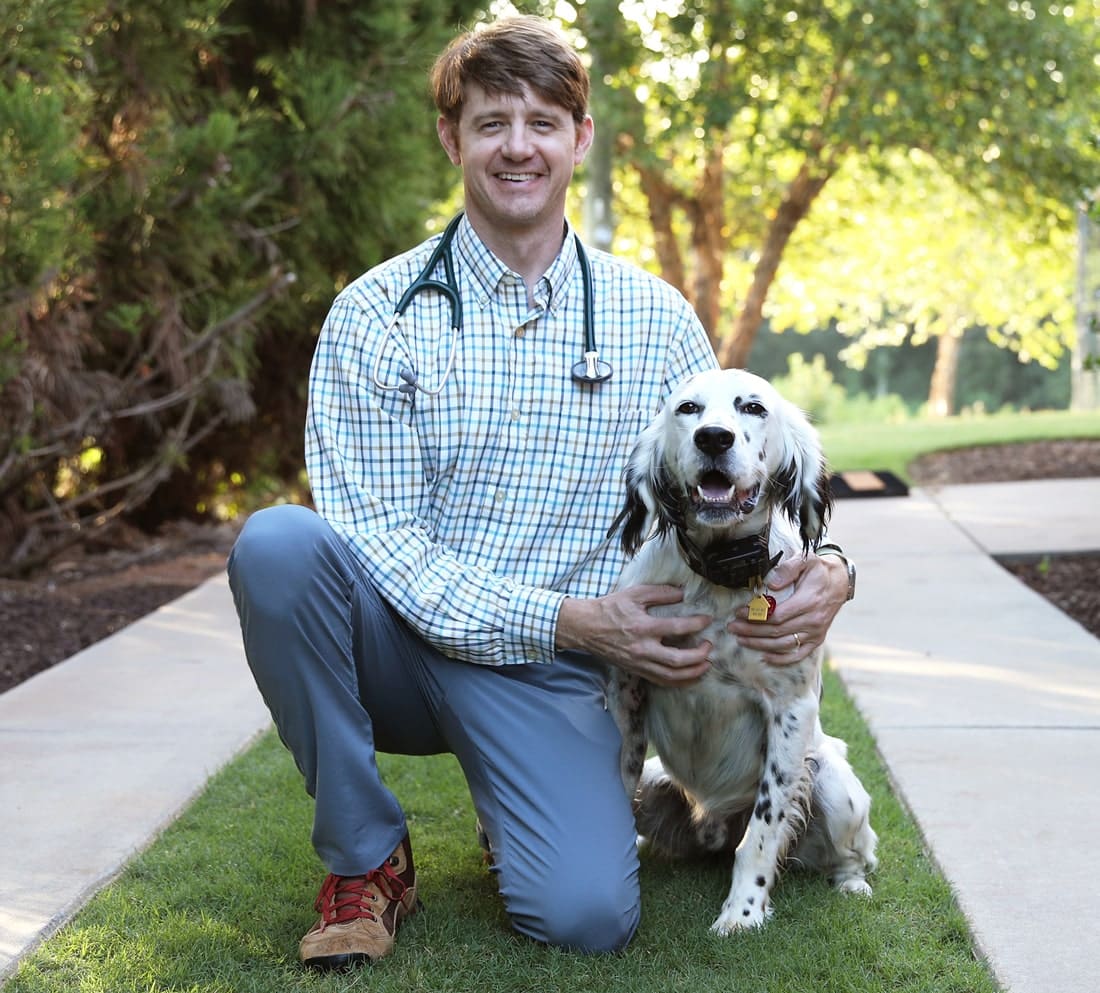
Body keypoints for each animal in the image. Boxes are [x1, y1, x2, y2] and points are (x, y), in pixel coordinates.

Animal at [611, 369, 875, 936]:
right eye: (687, 408)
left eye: (753, 408)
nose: (713, 438)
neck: (719, 576)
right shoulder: (627, 698)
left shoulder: (791, 710)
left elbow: (762, 831)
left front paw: (743, 912)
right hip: (657, 781)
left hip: (833, 785)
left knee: (857, 855)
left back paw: (851, 884)